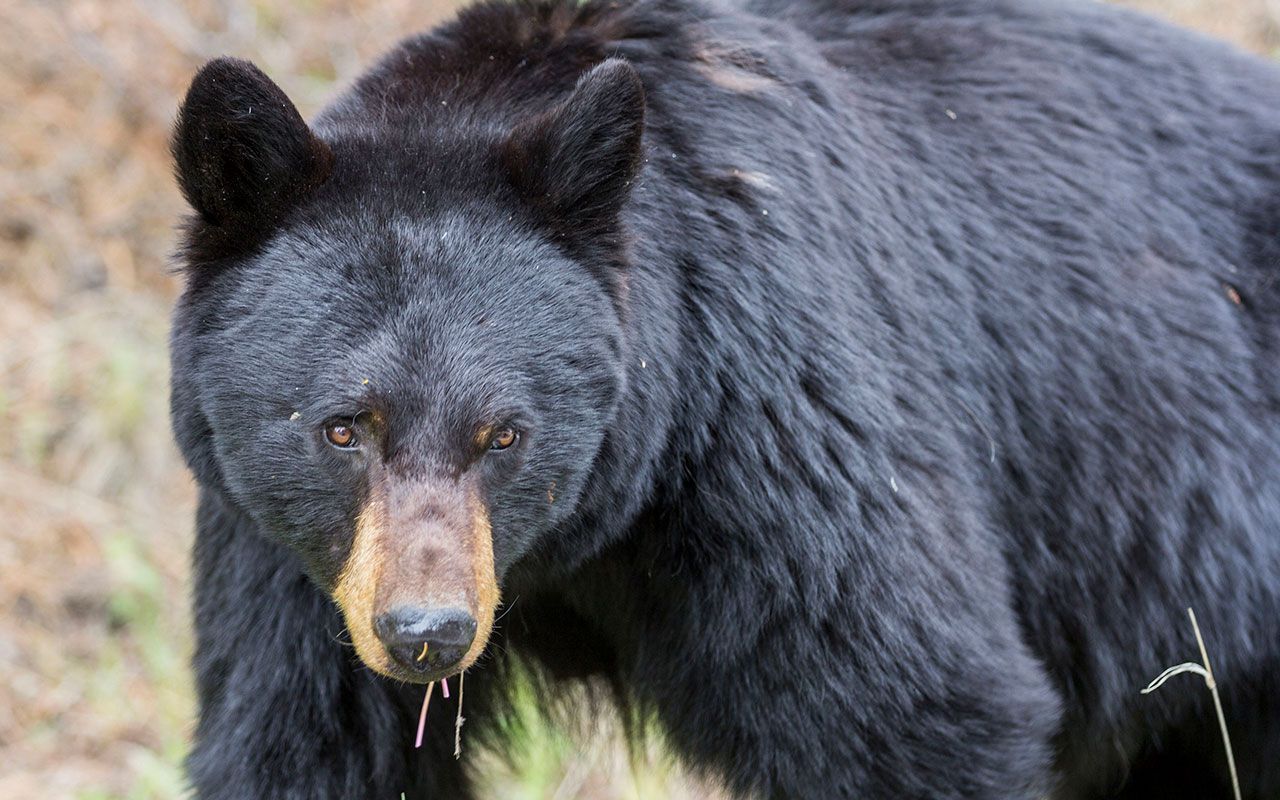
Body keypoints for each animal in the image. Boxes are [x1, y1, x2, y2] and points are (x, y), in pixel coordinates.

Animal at [167, 0, 1280, 793]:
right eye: (342, 428)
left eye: (505, 434)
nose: (424, 631)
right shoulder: (288, 556)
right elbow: (303, 739)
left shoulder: (778, 430)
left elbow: (907, 703)